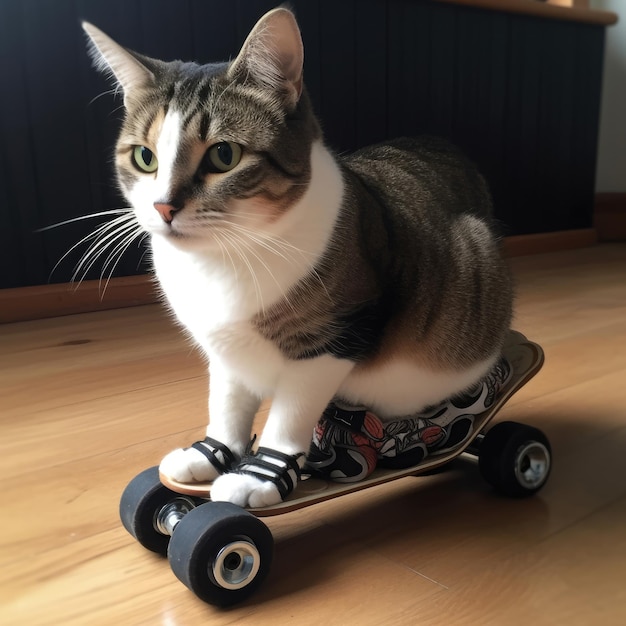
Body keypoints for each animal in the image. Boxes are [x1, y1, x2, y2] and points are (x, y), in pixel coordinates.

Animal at [83, 8, 512, 508]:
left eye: (224, 155)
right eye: (145, 157)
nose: (163, 207)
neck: (224, 258)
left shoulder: (333, 336)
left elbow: (291, 412)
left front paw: (259, 475)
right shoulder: (225, 347)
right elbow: (227, 401)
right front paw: (213, 453)